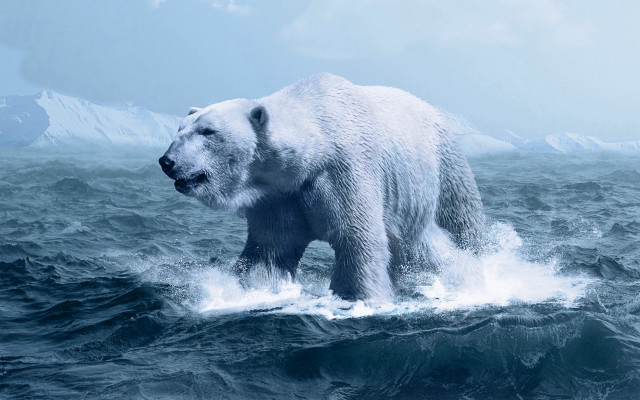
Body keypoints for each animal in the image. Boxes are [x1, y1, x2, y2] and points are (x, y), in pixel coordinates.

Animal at [159, 73, 485, 301]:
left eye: (208, 131)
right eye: (180, 128)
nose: (167, 161)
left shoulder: (344, 171)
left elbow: (357, 237)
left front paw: (357, 297)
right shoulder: (279, 195)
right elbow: (270, 249)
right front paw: (248, 289)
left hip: (442, 165)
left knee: (455, 225)